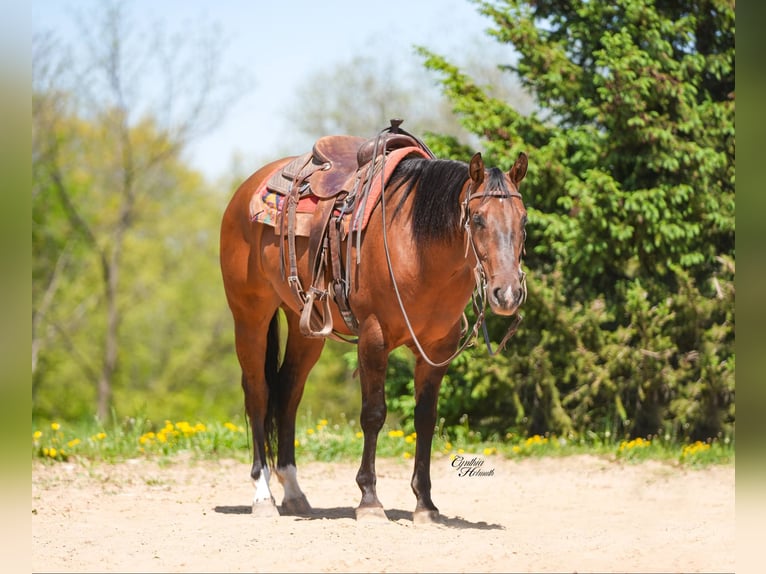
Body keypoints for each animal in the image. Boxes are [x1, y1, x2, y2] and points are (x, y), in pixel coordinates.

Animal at [219, 131, 528, 524]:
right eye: (477, 218)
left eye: (524, 221)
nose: (508, 293)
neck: (416, 245)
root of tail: (247, 189)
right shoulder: (373, 337)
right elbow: (373, 414)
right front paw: (369, 499)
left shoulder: (437, 350)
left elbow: (425, 418)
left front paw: (425, 504)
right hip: (249, 315)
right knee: (258, 393)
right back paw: (263, 496)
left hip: (306, 326)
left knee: (288, 391)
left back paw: (294, 492)